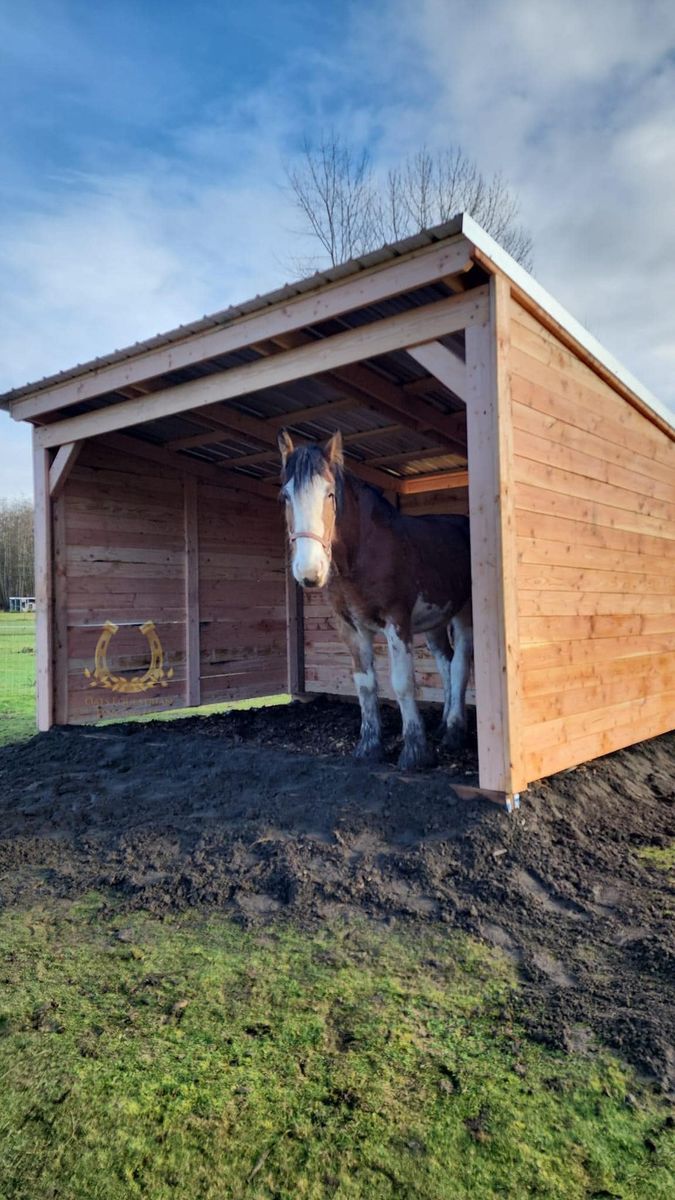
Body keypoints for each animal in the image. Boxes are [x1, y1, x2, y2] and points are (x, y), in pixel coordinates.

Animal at [276, 432, 470, 768]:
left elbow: (403, 683)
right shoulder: (350, 628)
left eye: (329, 494)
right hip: (435, 620)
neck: (363, 553)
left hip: (464, 613)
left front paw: (414, 752)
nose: (309, 571)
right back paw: (444, 723)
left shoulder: (397, 621)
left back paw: (455, 732)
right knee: (445, 663)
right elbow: (365, 684)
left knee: (460, 664)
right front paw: (369, 747)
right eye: (286, 496)